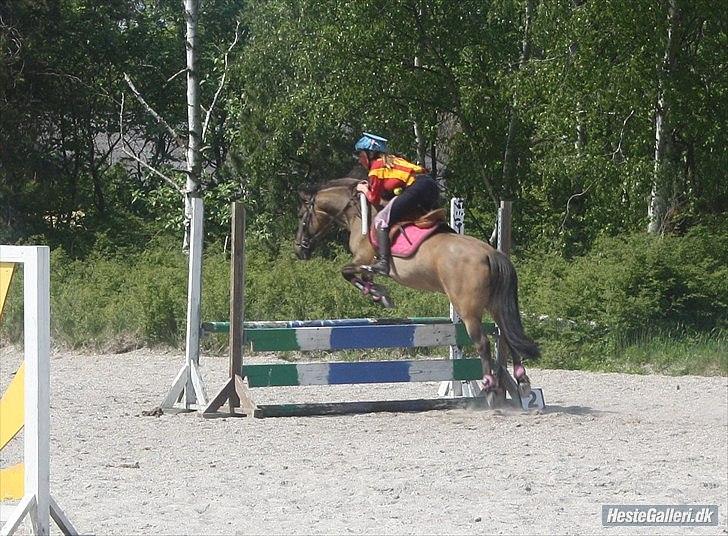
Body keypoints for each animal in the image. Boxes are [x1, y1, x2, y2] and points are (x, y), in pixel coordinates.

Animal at [292, 172, 536, 394]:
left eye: (302, 215)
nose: (298, 250)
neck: (359, 214)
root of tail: (490, 253)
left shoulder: (363, 259)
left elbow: (347, 272)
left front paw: (380, 294)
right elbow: (359, 277)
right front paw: (377, 292)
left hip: (467, 307)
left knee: (484, 342)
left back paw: (489, 385)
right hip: (493, 303)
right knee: (506, 334)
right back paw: (521, 379)